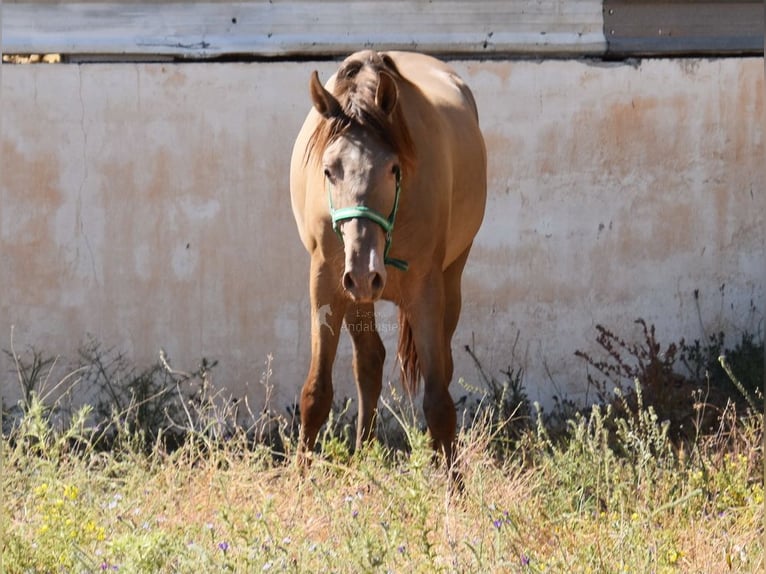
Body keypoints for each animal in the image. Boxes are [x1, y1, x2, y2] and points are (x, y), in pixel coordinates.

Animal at [292, 49, 488, 472]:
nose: (365, 273)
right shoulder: (326, 282)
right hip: (351, 292)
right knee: (369, 362)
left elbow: (439, 403)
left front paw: (454, 485)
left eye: (393, 168)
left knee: (440, 367)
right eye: (329, 170)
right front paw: (298, 480)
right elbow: (316, 393)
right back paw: (364, 455)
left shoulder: (426, 290)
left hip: (450, 280)